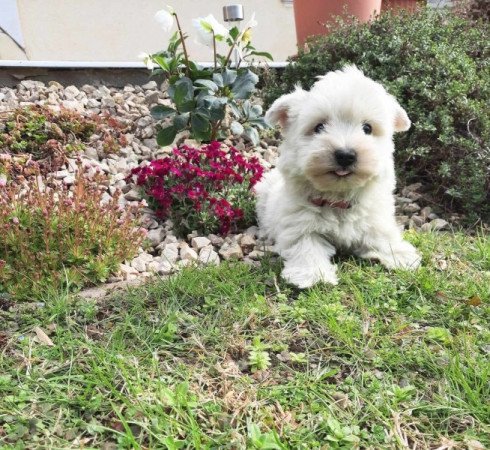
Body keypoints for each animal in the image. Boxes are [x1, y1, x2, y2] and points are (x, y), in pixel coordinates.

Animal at [256, 66, 422, 288]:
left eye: (367, 128)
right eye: (319, 127)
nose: (345, 155)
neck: (338, 198)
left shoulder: (374, 216)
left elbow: (381, 234)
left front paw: (400, 254)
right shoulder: (298, 223)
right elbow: (306, 246)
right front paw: (312, 274)